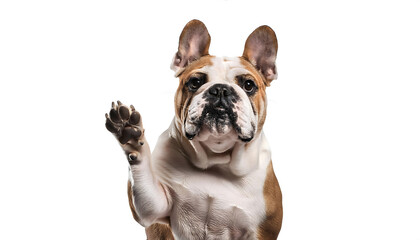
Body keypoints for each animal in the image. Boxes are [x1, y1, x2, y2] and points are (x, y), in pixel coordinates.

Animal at [105, 19, 284, 239]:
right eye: (195, 81)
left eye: (248, 85)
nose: (221, 89)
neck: (216, 158)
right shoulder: (155, 207)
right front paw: (130, 134)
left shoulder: (261, 231)